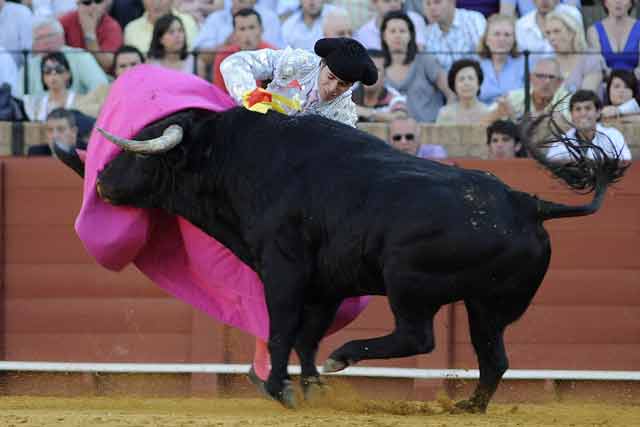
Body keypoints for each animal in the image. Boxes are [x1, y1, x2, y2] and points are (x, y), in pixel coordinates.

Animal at [71, 106, 624, 412]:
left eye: (141, 152)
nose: (100, 182)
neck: (235, 160)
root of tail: (528, 203)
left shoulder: (284, 269)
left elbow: (283, 328)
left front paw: (281, 390)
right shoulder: (326, 283)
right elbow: (306, 335)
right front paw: (311, 389)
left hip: (408, 281)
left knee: (418, 337)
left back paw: (348, 356)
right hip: (487, 305)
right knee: (495, 358)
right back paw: (468, 406)